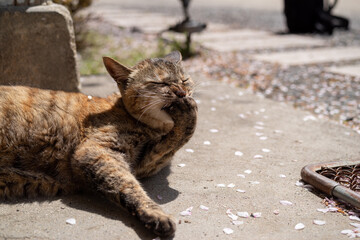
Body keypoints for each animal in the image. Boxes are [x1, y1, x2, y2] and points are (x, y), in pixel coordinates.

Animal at [0, 50, 197, 236]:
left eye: (184, 80)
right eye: (159, 83)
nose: (181, 93)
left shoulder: (145, 161)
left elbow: (173, 142)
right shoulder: (95, 152)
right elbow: (128, 185)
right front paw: (156, 214)